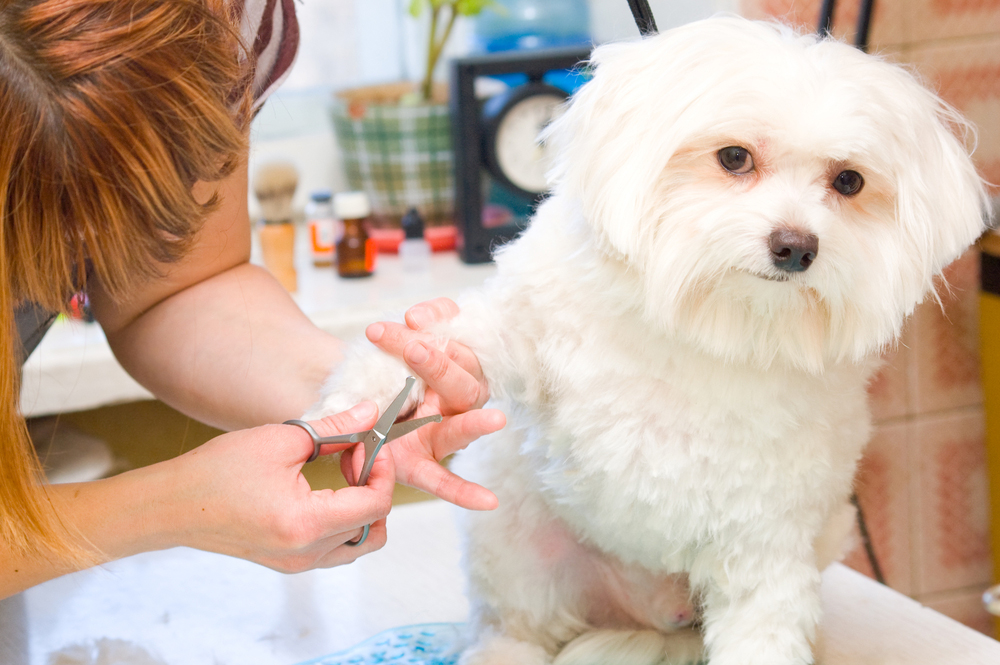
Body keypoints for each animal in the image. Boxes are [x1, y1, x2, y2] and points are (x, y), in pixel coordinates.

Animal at [316, 15, 988, 664]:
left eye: (848, 181)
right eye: (734, 157)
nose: (796, 246)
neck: (710, 323)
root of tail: (648, 612)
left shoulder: (766, 541)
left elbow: (762, 631)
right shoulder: (532, 325)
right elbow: (449, 346)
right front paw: (357, 402)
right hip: (515, 548)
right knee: (513, 630)